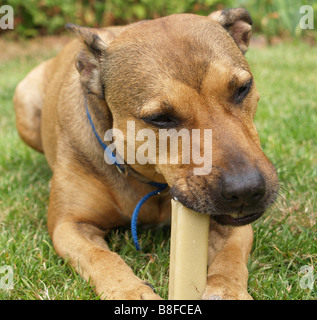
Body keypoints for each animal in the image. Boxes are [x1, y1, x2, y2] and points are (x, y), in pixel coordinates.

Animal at [13, 8, 278, 300]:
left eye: (243, 88)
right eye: (160, 118)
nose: (247, 190)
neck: (151, 182)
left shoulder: (232, 225)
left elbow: (231, 254)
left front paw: (227, 290)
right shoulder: (69, 224)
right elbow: (102, 257)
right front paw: (130, 292)